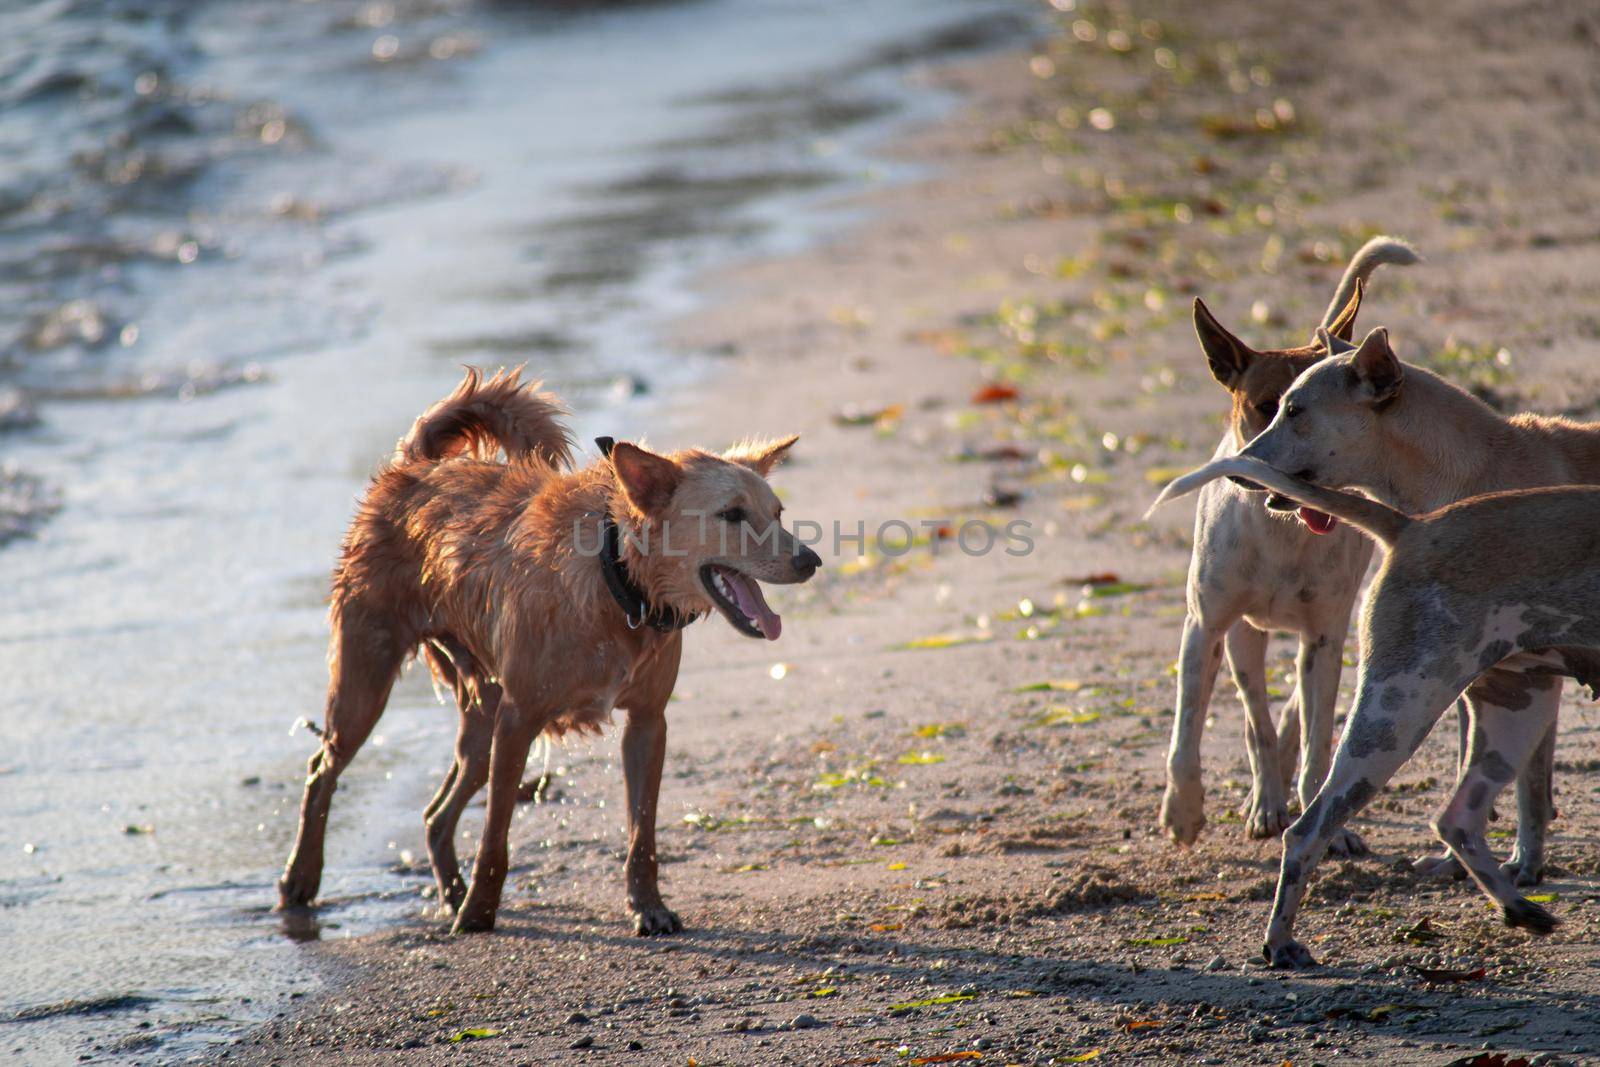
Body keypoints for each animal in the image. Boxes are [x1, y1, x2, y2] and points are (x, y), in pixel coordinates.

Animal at [275, 367, 819, 934]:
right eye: (731, 515)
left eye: (778, 512)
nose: (811, 561)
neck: (614, 577)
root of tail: (415, 467)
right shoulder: (519, 721)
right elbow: (495, 838)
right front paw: (480, 913)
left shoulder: (647, 724)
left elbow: (641, 834)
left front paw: (647, 906)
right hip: (367, 682)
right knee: (322, 771)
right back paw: (303, 878)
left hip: (482, 718)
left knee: (434, 814)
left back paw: (450, 889)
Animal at [1145, 454, 1593, 972]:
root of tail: (1413, 526)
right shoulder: (1211, 627)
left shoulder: (1321, 639)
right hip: (1395, 708)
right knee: (1292, 794)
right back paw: (1280, 929)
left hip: (1506, 708)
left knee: (1442, 812)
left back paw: (1517, 907)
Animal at [1164, 235, 1414, 851]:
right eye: (1267, 406)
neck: (1281, 532)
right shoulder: (1205, 625)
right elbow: (1191, 730)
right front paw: (1183, 809)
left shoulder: (1325, 634)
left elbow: (1318, 737)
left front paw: (1327, 826)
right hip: (1242, 637)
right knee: (1255, 707)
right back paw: (1265, 798)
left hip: (1328, 628)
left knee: (1297, 712)